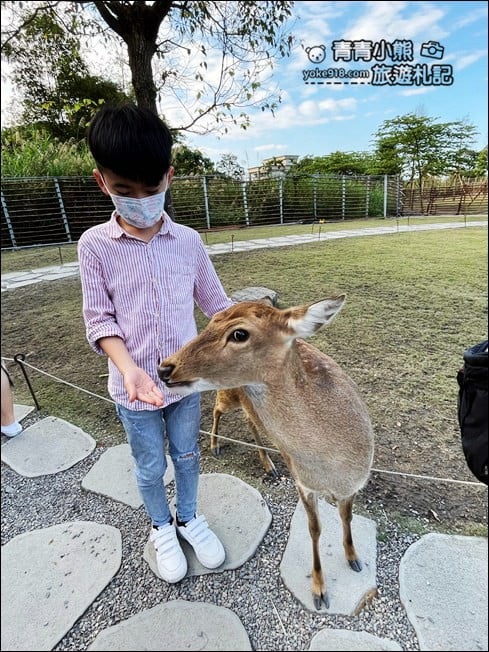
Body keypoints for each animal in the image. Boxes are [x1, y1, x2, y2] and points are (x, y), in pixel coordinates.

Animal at [157, 295, 374, 610]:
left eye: (239, 333)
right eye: (211, 322)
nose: (164, 368)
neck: (333, 470)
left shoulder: (354, 486)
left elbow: (347, 519)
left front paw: (354, 558)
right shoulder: (302, 484)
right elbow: (315, 529)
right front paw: (319, 591)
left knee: (250, 420)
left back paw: (268, 463)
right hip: (230, 394)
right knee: (218, 409)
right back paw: (215, 445)